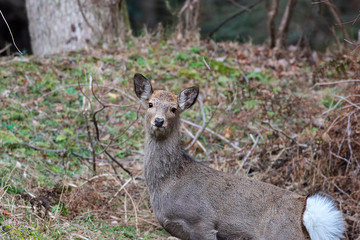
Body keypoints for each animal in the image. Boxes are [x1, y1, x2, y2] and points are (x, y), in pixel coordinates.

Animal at [134, 73, 344, 240]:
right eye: (150, 104)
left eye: (174, 108)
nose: (159, 121)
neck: (168, 183)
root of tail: (304, 214)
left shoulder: (202, 222)